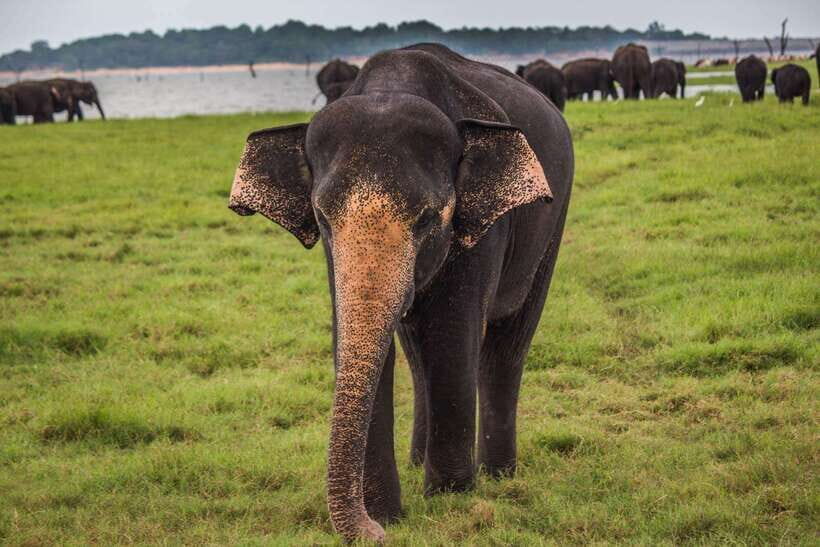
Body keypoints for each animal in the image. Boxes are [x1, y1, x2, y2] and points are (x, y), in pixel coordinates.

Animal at [228, 43, 573, 543]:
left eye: (428, 219)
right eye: (322, 218)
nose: (374, 533)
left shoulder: (482, 227)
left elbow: (451, 334)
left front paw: (449, 500)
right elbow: (365, 341)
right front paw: (389, 513)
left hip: (554, 219)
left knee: (507, 344)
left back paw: (496, 475)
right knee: (416, 352)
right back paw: (417, 462)